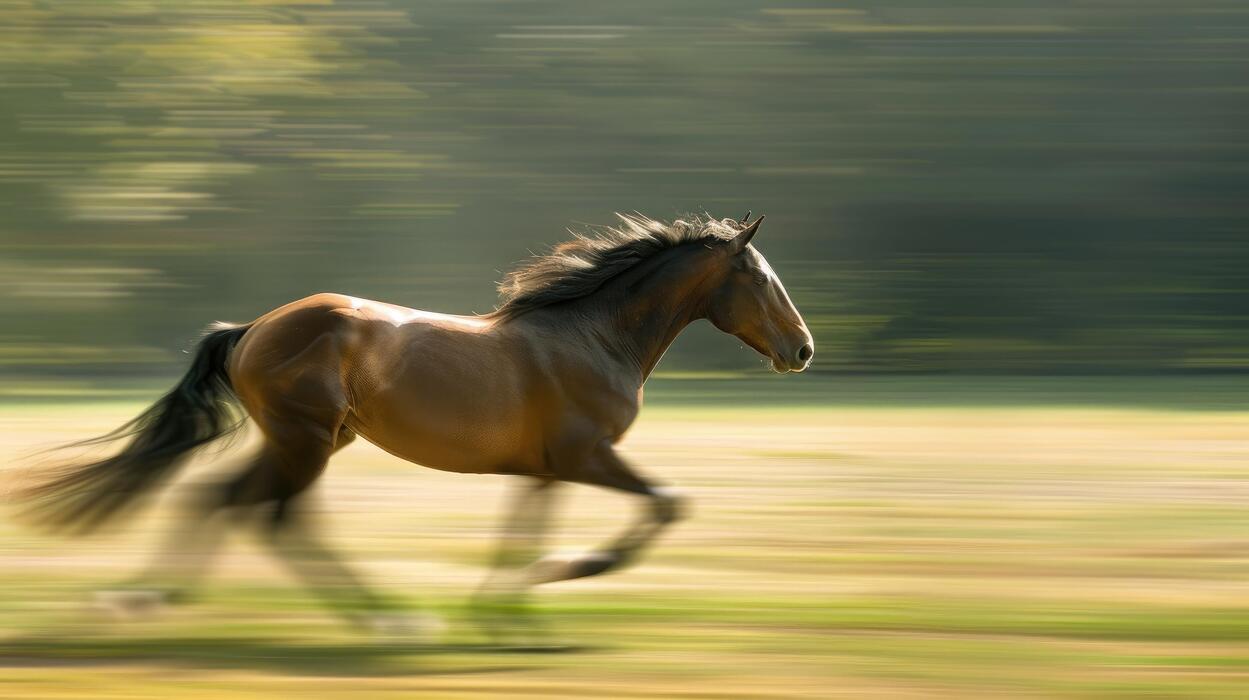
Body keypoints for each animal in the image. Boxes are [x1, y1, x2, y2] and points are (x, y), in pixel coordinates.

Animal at [22, 212, 813, 637]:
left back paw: (147, 598)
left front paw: (505, 617)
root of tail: (249, 331)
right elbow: (664, 505)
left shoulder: (545, 470)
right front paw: (567, 571)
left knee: (224, 500)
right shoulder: (586, 457)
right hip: (305, 440)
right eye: (761, 279)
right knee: (271, 515)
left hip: (303, 439)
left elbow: (518, 537)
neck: (592, 337)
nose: (802, 349)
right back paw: (387, 619)